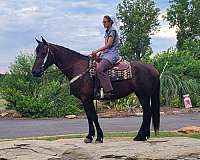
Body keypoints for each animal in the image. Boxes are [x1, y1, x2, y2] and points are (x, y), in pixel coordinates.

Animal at [32, 37, 160, 142]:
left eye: (44, 53)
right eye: (36, 52)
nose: (34, 72)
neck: (78, 68)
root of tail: (153, 68)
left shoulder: (86, 98)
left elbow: (93, 116)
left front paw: (97, 137)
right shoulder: (85, 99)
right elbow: (89, 116)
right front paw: (90, 136)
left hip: (143, 95)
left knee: (147, 113)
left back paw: (140, 136)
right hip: (140, 94)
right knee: (147, 113)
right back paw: (143, 136)